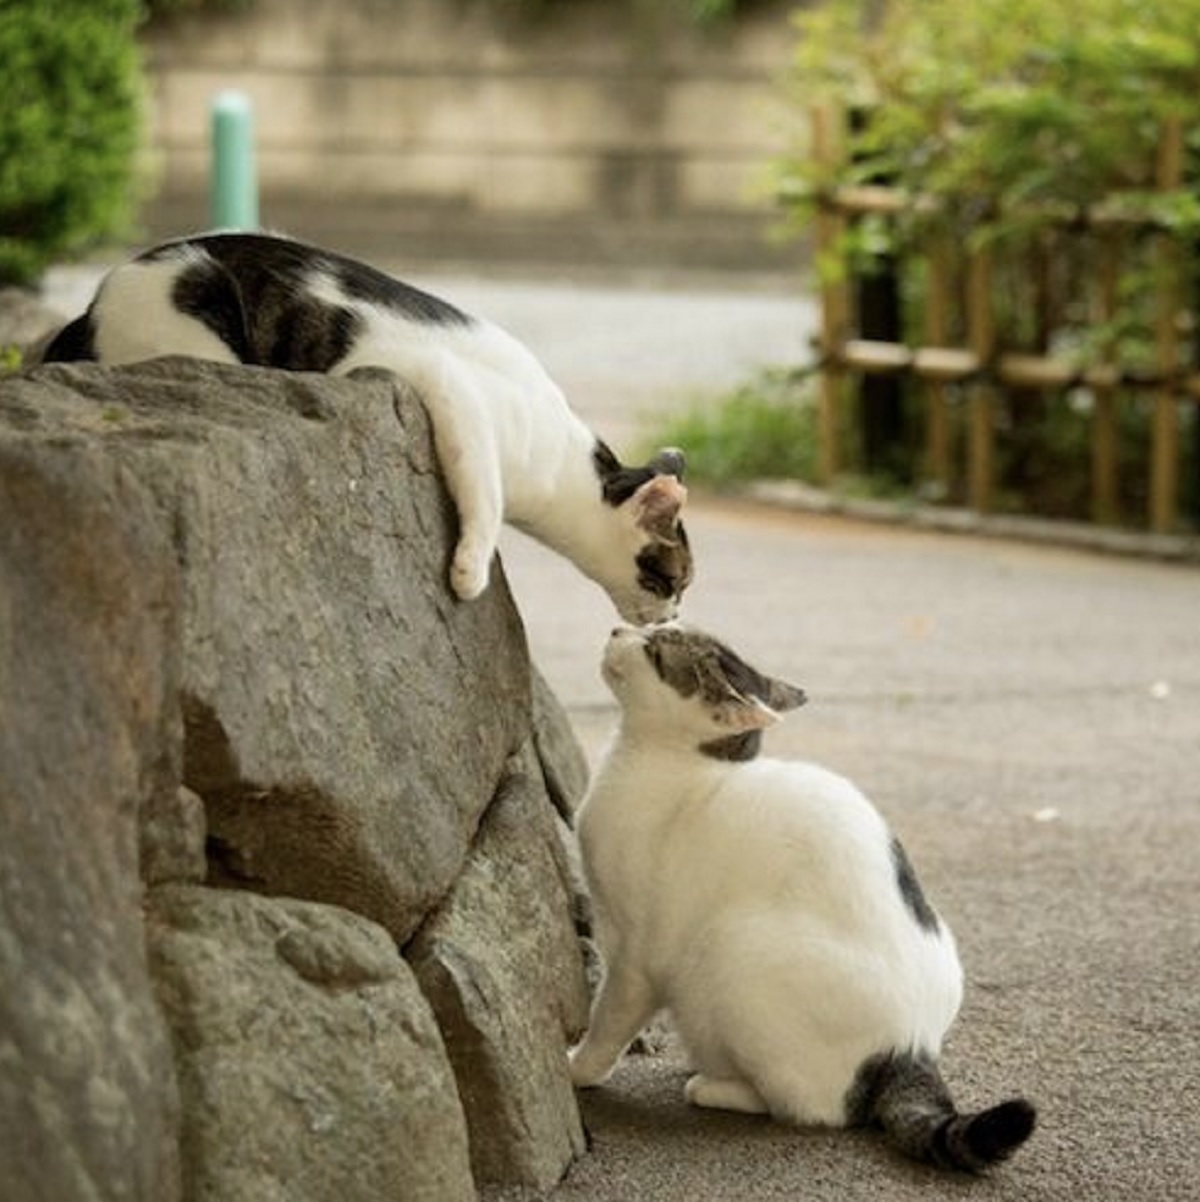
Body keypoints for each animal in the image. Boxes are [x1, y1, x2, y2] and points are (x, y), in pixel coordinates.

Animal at [42, 230, 697, 625]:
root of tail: (97, 298)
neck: (564, 465)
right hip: (200, 319)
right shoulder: (447, 387)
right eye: (675, 582)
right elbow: (481, 489)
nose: (671, 621)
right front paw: (469, 572)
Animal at [567, 625, 1038, 1168]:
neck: (680, 765)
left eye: (655, 649)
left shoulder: (635, 958)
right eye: (652, 632)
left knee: (810, 1108)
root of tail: (911, 1048)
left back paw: (713, 1085)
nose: (618, 629)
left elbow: (609, 1021)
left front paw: (578, 1069)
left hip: (734, 954)